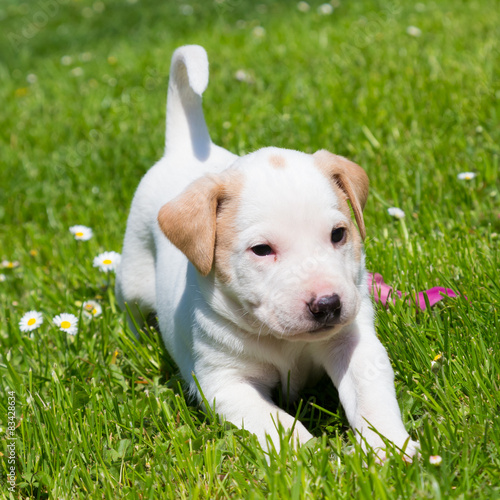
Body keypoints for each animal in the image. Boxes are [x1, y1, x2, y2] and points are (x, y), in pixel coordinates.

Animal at [116, 45, 418, 458]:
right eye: (261, 250)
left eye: (339, 234)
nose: (328, 305)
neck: (285, 342)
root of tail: (186, 152)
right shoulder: (224, 384)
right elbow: (275, 422)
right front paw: (310, 456)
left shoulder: (356, 346)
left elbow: (372, 397)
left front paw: (390, 449)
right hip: (132, 272)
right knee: (130, 308)